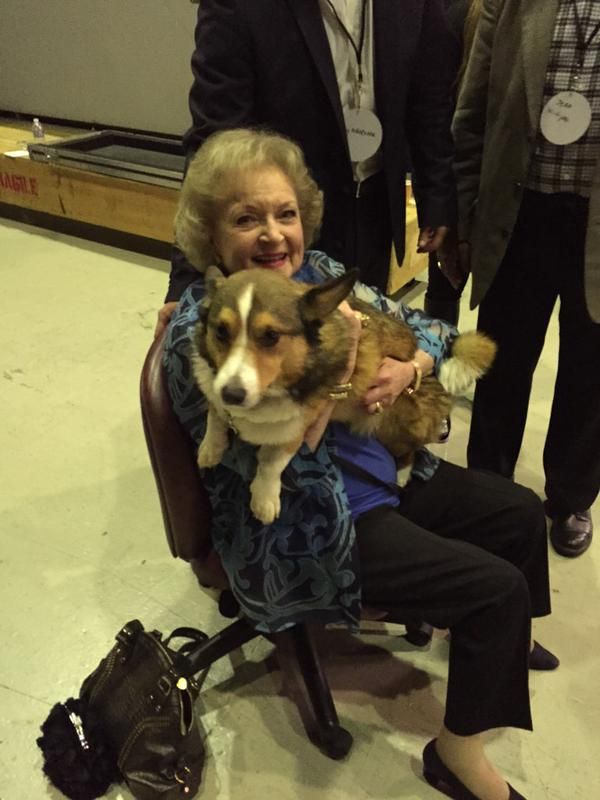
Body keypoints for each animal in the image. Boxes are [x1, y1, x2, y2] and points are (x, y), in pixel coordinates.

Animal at [193, 266, 496, 520]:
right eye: (220, 331)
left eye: (271, 336)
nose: (232, 395)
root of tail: (439, 385)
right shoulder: (215, 391)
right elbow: (214, 415)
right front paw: (210, 447)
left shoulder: (297, 429)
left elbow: (270, 461)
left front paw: (264, 500)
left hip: (392, 415)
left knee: (411, 451)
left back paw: (400, 476)